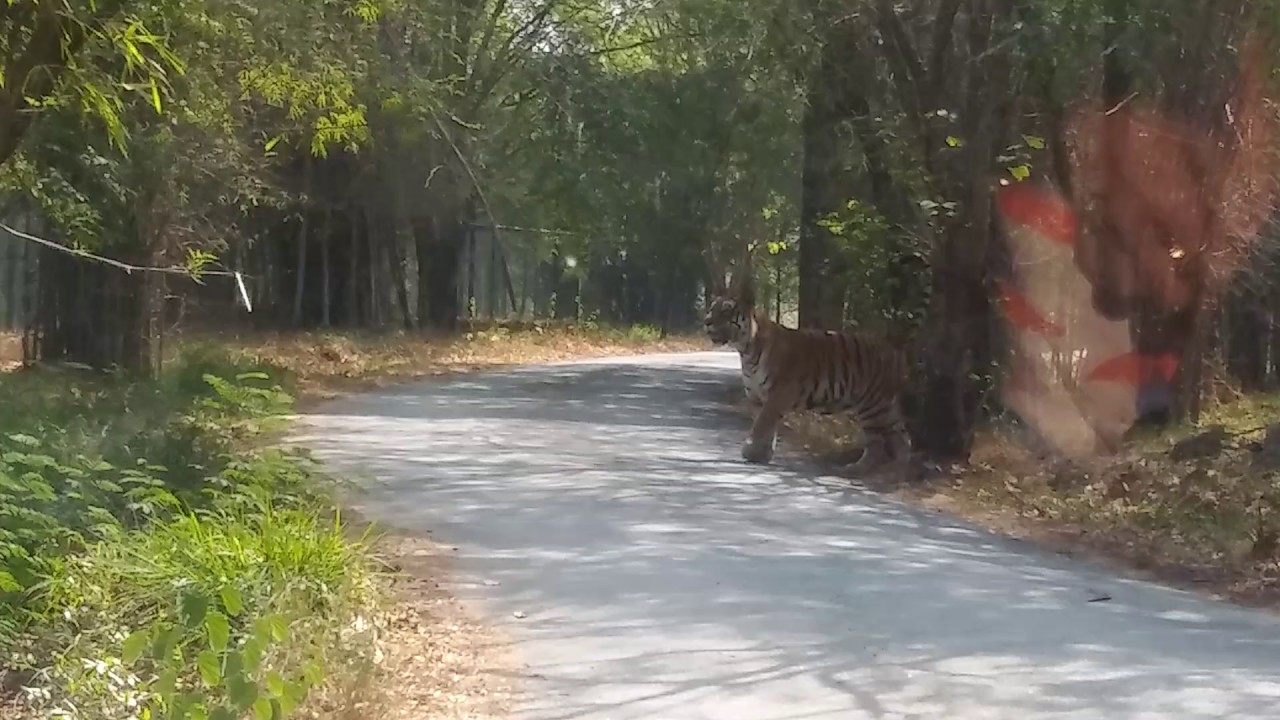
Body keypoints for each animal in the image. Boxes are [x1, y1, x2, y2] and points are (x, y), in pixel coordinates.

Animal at [703, 273, 912, 474]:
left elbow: (762, 423)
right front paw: (762, 454)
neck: (745, 350)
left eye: (726, 310)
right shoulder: (756, 397)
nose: (706, 321)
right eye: (711, 309)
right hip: (883, 408)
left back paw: (859, 469)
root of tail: (896, 351)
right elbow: (764, 425)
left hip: (872, 406)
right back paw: (899, 470)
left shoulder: (778, 394)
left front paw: (752, 452)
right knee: (899, 440)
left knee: (880, 443)